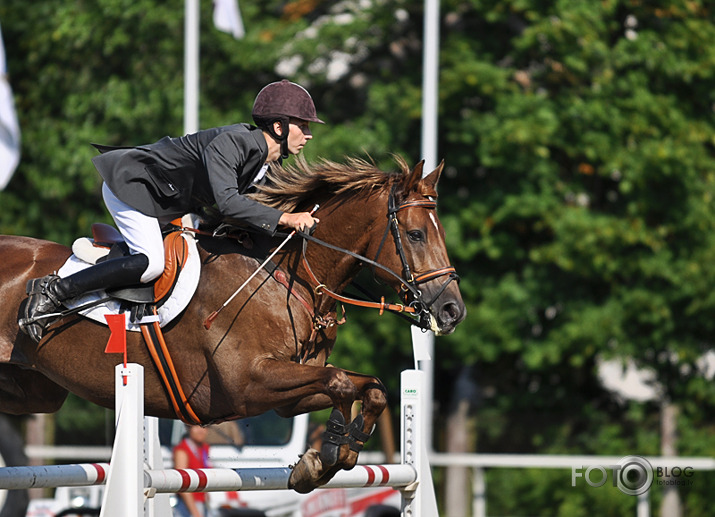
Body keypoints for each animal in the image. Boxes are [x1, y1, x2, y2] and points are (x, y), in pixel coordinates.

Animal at [0, 156, 464, 492]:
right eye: (416, 234)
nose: (452, 311)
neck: (286, 276)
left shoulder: (288, 392)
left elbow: (371, 388)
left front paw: (332, 456)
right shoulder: (247, 385)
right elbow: (340, 383)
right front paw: (327, 455)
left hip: (37, 390)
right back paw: (43, 299)